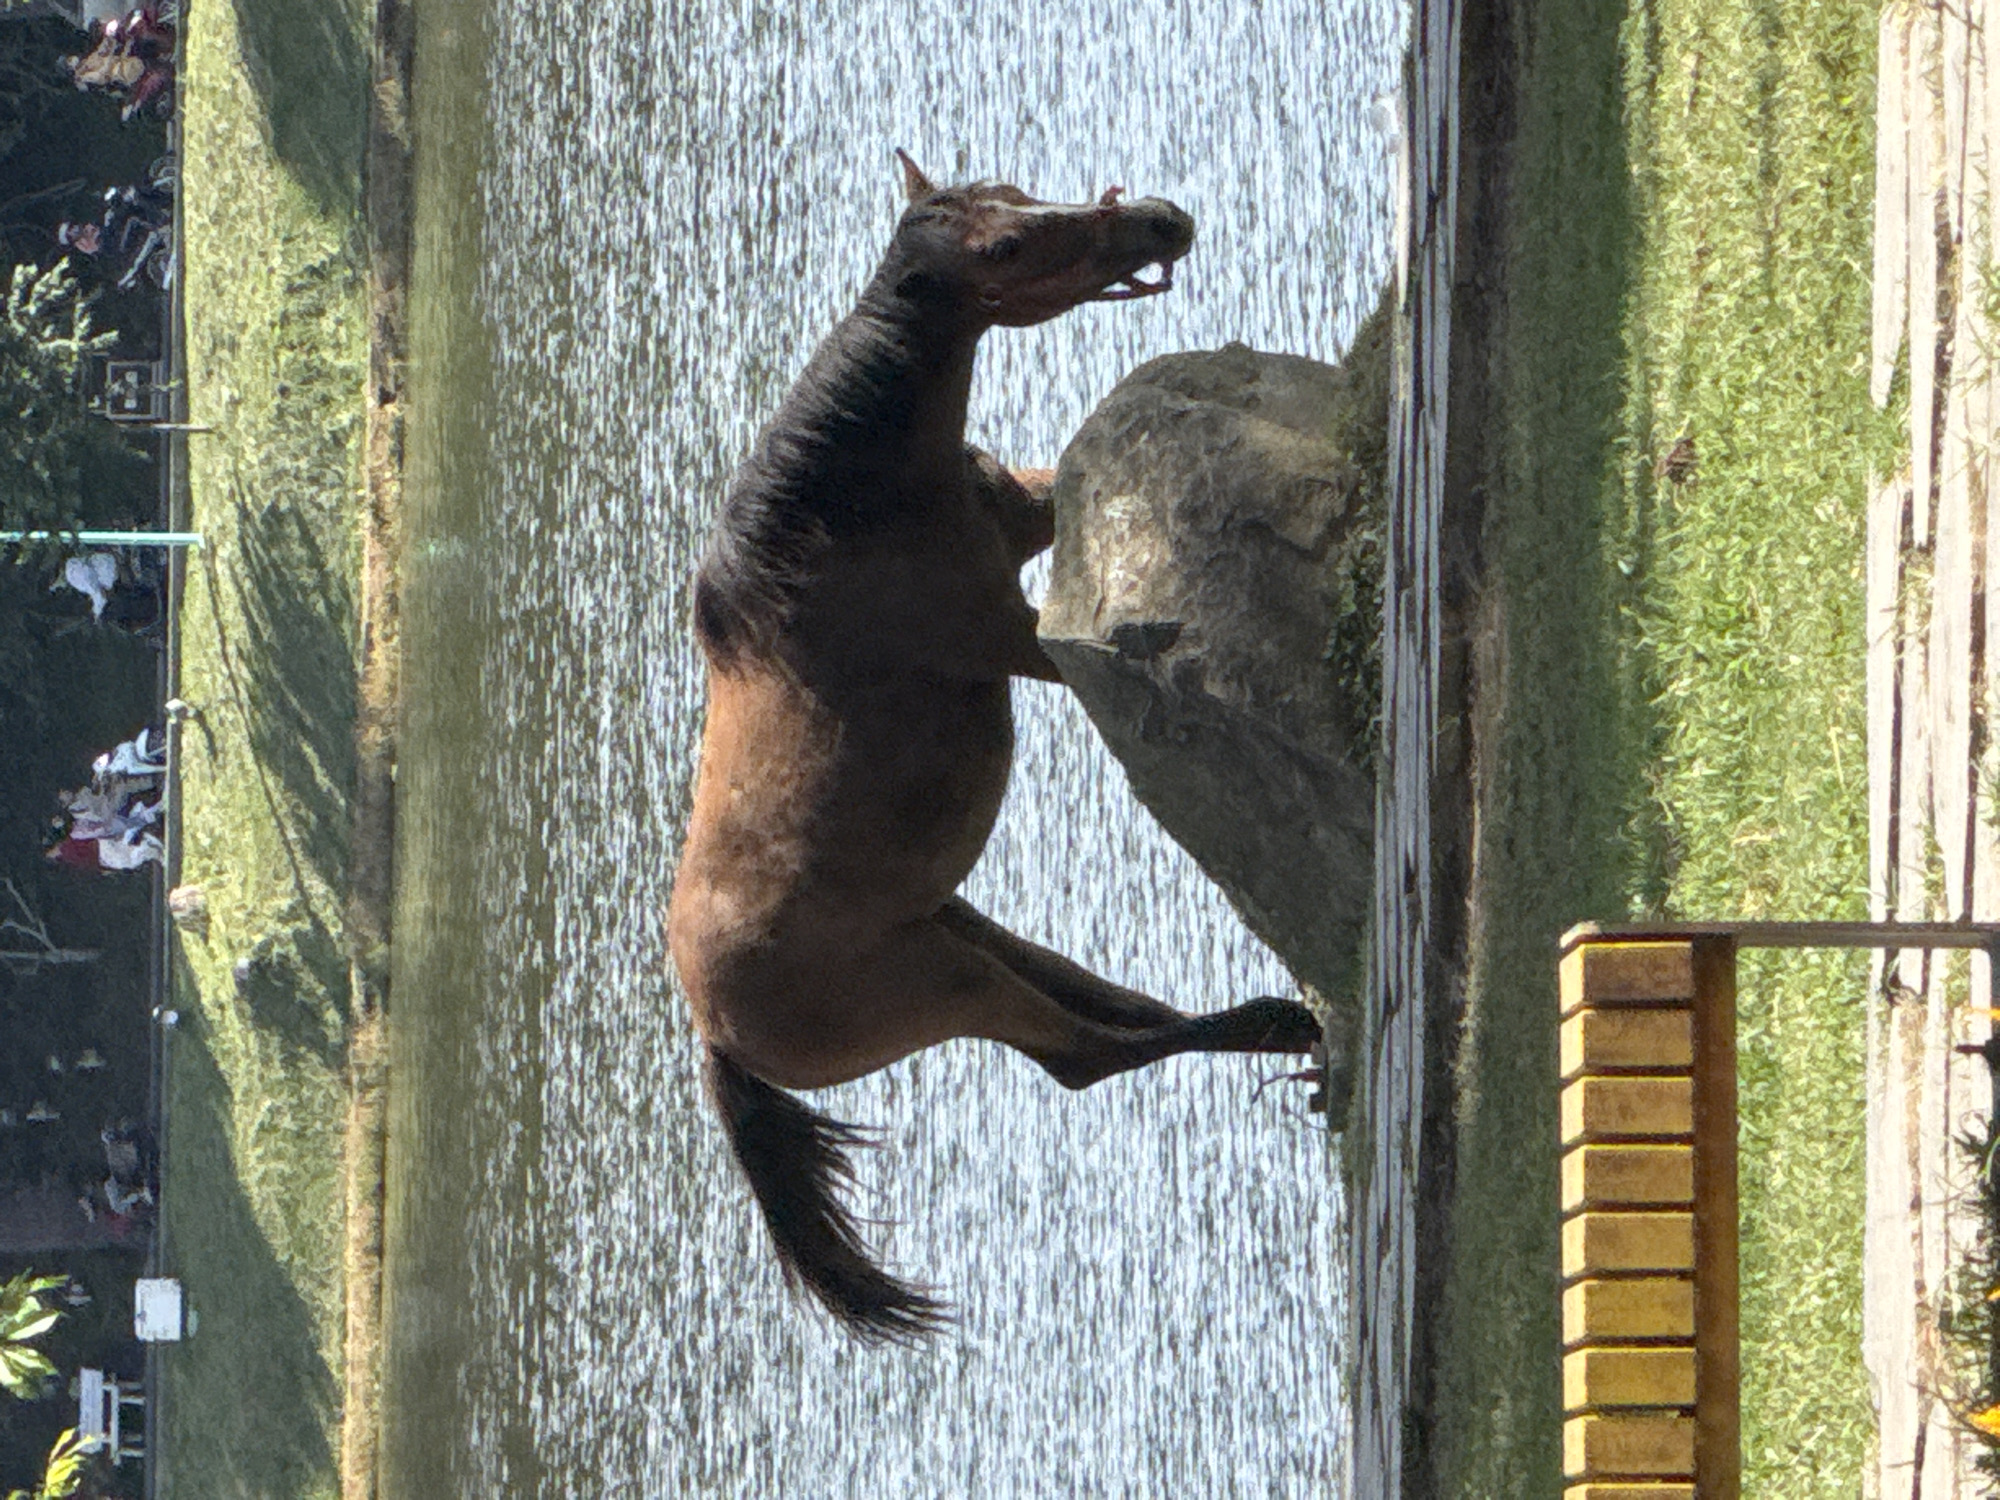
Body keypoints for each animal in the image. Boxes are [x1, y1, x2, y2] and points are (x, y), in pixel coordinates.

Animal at [667, 152, 1324, 1343]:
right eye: (1007, 249)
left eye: (1010, 192)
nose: (1160, 221)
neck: (833, 523)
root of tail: (716, 1037)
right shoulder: (1021, 641)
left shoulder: (1024, 511)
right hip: (951, 984)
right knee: (1087, 1056)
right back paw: (1276, 1024)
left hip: (963, 933)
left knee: (1109, 1008)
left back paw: (1283, 1026)